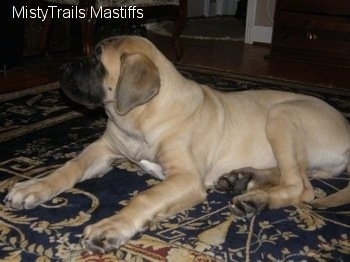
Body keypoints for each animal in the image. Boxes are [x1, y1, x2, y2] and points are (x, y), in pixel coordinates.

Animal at [4, 35, 350, 253]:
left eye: (97, 61)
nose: (60, 68)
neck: (141, 118)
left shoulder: (186, 178)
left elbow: (145, 196)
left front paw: (111, 227)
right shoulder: (103, 149)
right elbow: (70, 165)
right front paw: (34, 187)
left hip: (282, 115)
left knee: (302, 187)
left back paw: (254, 200)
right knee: (291, 175)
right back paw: (242, 180)